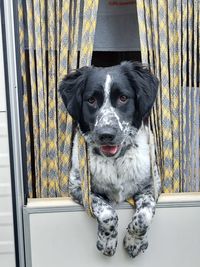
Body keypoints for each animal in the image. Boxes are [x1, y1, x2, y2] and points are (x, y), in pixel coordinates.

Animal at [59, 61, 161, 258]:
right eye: (91, 100)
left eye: (123, 98)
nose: (106, 135)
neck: (115, 162)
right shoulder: (78, 188)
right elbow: (107, 212)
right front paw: (107, 242)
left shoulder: (152, 185)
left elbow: (144, 215)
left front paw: (134, 242)